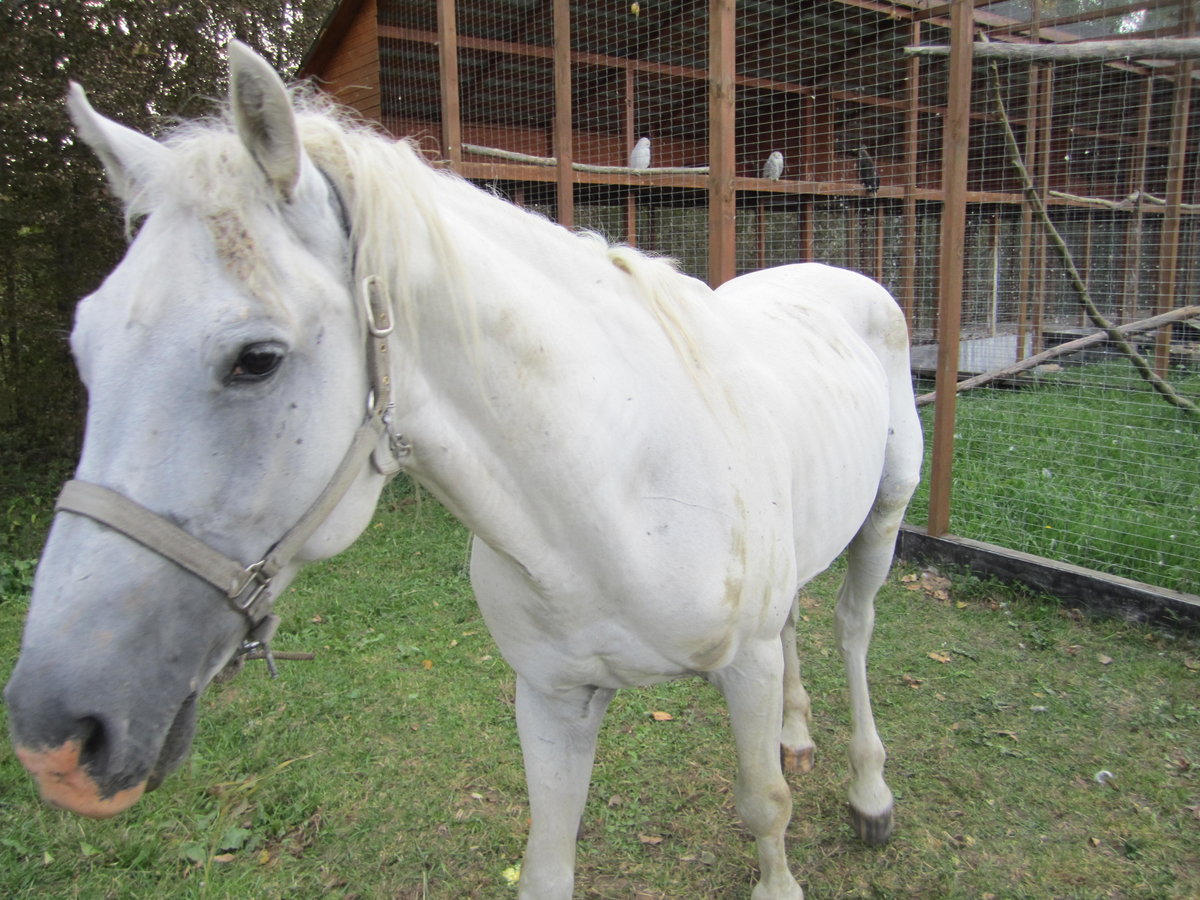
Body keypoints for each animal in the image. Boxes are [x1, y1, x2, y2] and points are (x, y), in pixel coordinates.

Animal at [4, 43, 922, 900]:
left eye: (256, 359)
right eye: (84, 345)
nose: (57, 735)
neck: (618, 487)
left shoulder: (744, 665)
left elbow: (763, 804)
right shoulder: (553, 697)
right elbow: (548, 861)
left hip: (883, 519)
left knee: (852, 627)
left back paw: (871, 792)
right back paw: (798, 735)